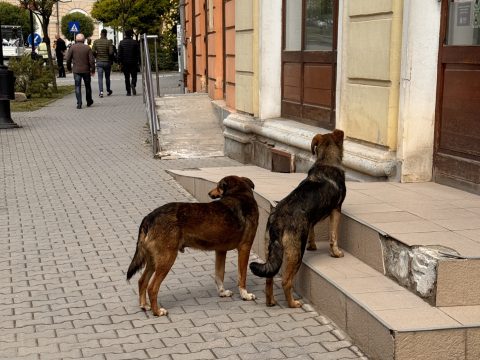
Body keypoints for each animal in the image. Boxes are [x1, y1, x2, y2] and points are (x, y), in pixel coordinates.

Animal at [125, 176, 256, 316]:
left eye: (218, 186)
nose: (209, 193)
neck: (240, 193)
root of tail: (150, 216)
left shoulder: (221, 251)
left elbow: (219, 274)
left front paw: (222, 292)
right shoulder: (245, 248)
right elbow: (242, 276)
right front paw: (245, 295)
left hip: (154, 260)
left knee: (142, 281)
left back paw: (144, 305)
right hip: (167, 259)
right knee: (152, 287)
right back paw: (157, 311)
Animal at [249, 131, 346, 308]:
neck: (326, 161)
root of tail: (277, 220)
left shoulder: (311, 220)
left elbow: (313, 231)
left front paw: (313, 246)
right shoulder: (336, 210)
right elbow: (333, 236)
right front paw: (336, 253)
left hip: (269, 249)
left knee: (269, 279)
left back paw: (271, 301)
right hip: (295, 252)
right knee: (286, 281)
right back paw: (293, 303)